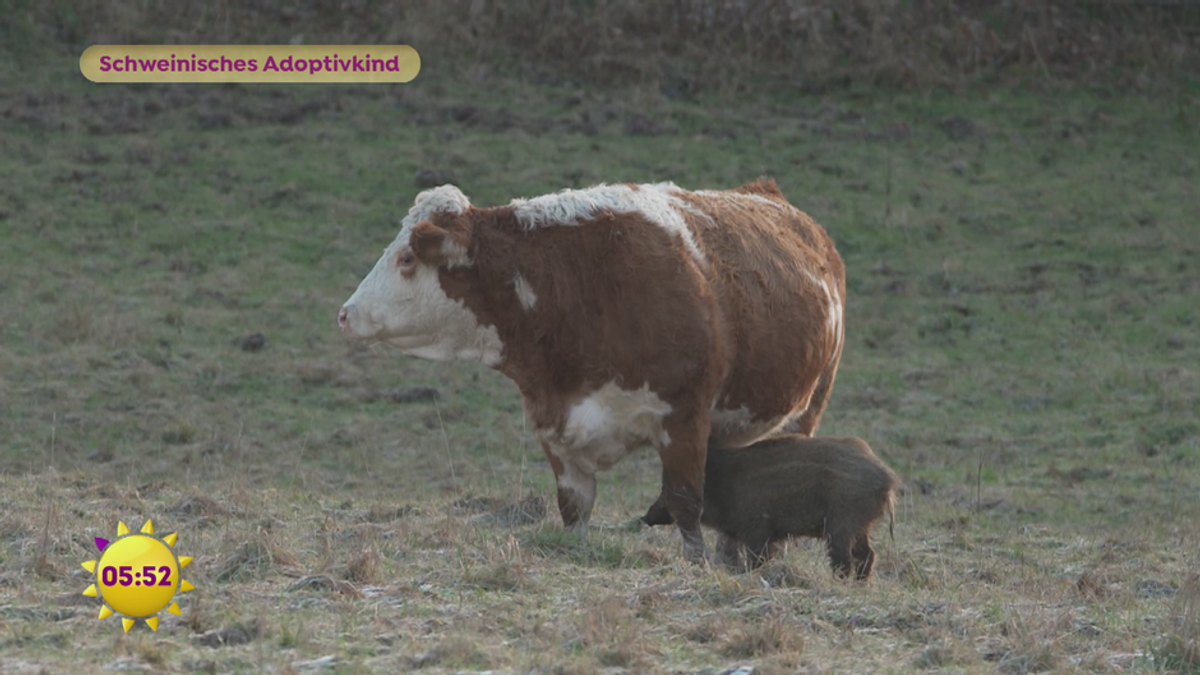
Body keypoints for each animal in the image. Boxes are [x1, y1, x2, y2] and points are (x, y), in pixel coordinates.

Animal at [338, 178, 844, 562]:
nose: (345, 314)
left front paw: (698, 564)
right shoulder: (555, 426)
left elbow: (684, 503)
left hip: (806, 409)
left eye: (406, 258)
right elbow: (574, 508)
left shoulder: (683, 418)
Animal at [643, 437, 897, 578]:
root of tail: (889, 479)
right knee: (867, 555)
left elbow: (758, 559)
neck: (722, 485)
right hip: (861, 526)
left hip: (842, 523)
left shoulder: (757, 528)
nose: (645, 518)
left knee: (844, 559)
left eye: (666, 487)